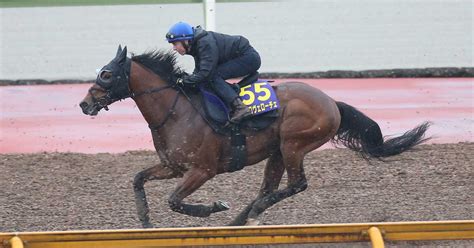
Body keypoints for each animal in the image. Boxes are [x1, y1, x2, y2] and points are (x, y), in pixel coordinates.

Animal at [80, 45, 430, 228]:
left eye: (107, 74)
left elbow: (175, 200)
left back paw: (248, 214)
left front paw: (214, 206)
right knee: (270, 187)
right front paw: (145, 221)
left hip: (293, 144)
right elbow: (138, 179)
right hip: (276, 152)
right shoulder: (174, 167)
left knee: (296, 185)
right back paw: (243, 218)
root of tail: (331, 102)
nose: (84, 103)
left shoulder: (202, 170)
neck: (176, 111)